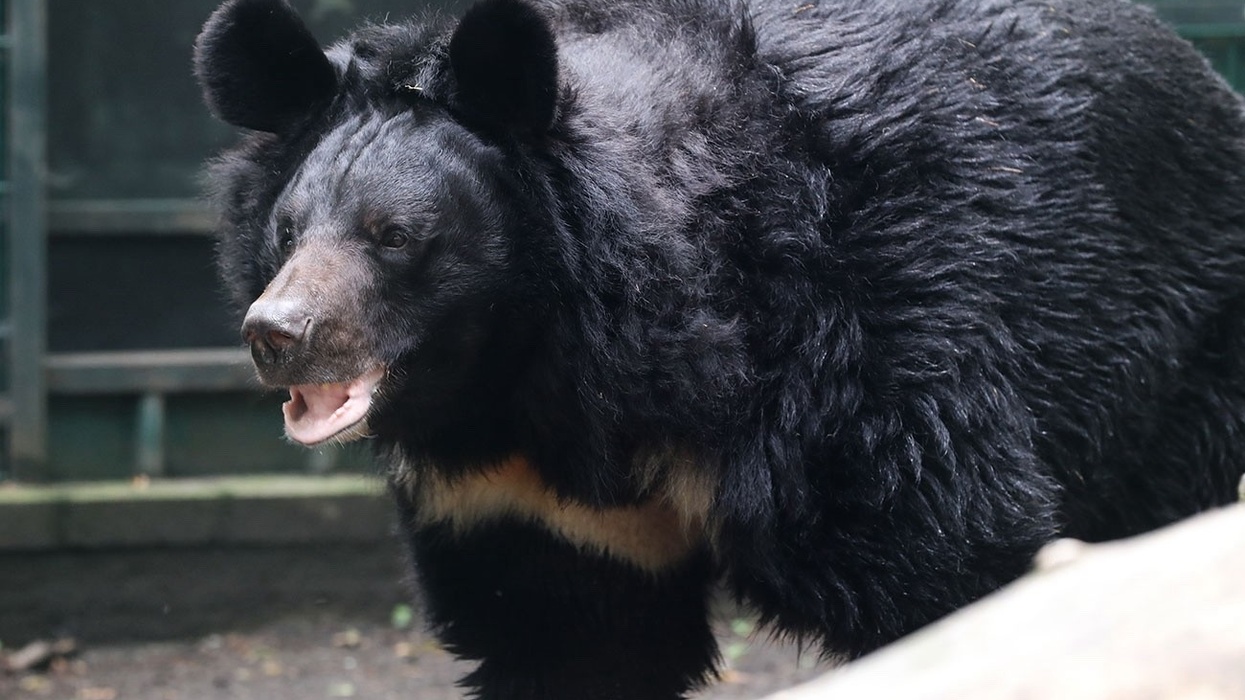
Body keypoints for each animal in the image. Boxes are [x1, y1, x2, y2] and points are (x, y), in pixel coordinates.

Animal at [194, 0, 1245, 697]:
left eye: (396, 236)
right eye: (288, 230)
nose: (279, 335)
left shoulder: (874, 357)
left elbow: (946, 566)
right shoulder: (541, 507)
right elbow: (565, 637)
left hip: (1180, 366)